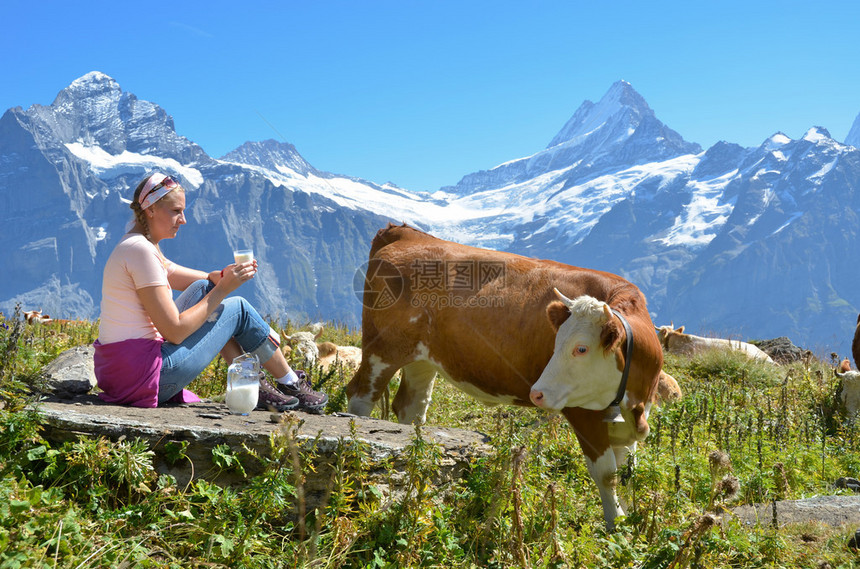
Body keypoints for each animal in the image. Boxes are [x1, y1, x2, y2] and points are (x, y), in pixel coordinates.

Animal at [346, 222, 660, 528]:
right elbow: (607, 475)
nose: (537, 393)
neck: (632, 402)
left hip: (422, 358)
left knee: (411, 408)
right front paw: (615, 525)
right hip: (381, 350)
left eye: (581, 348)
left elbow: (625, 471)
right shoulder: (583, 412)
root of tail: (404, 233)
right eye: (556, 342)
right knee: (361, 396)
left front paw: (626, 522)